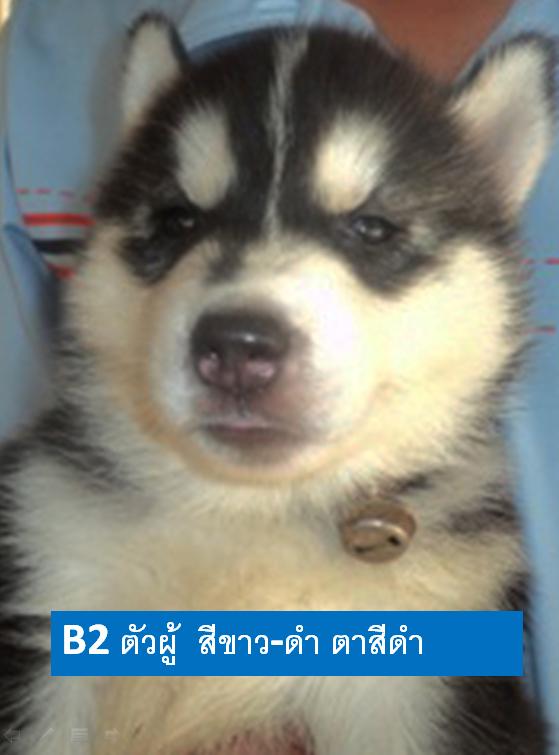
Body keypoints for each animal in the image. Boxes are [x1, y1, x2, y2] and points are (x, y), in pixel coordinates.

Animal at [0, 12, 555, 754]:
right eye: (179, 221)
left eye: (370, 227)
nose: (236, 345)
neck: (253, 512)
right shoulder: (51, 574)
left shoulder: (421, 683)